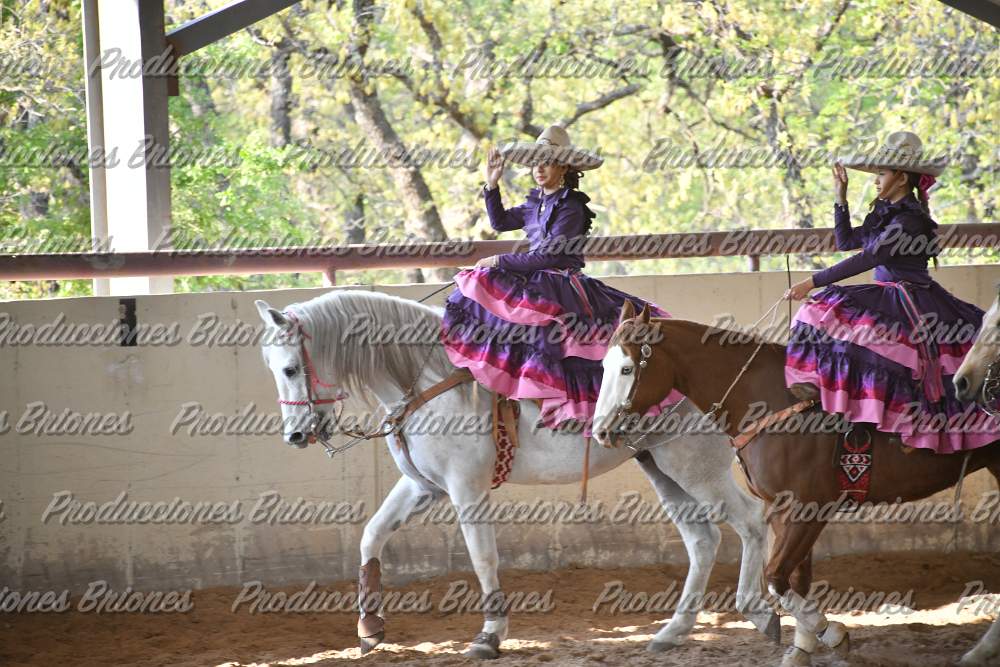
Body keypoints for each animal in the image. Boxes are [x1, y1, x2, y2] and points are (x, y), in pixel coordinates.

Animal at [253, 289, 778, 658]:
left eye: (291, 367)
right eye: (273, 369)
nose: (295, 435)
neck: (430, 380)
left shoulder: (466, 490)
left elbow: (483, 557)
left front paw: (489, 636)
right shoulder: (422, 487)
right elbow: (371, 536)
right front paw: (369, 629)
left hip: (696, 467)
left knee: (751, 521)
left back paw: (760, 613)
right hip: (663, 469)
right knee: (703, 541)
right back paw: (673, 631)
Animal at [592, 300, 1000, 667]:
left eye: (627, 368)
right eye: (603, 366)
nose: (600, 431)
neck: (770, 400)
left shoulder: (809, 509)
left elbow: (776, 577)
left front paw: (830, 633)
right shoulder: (783, 509)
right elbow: (796, 579)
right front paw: (803, 647)